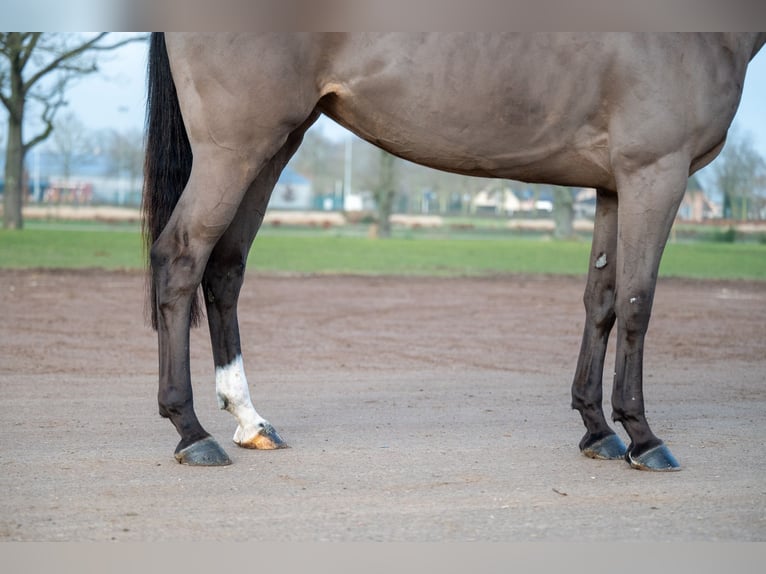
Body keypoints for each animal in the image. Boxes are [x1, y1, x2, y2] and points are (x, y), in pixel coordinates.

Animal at [144, 32, 766, 472]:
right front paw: (643, 437)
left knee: (225, 268)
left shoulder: (614, 185)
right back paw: (192, 432)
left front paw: (598, 430)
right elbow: (639, 303)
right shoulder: (655, 174)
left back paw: (250, 422)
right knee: (180, 259)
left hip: (275, 144)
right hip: (235, 149)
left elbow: (603, 300)